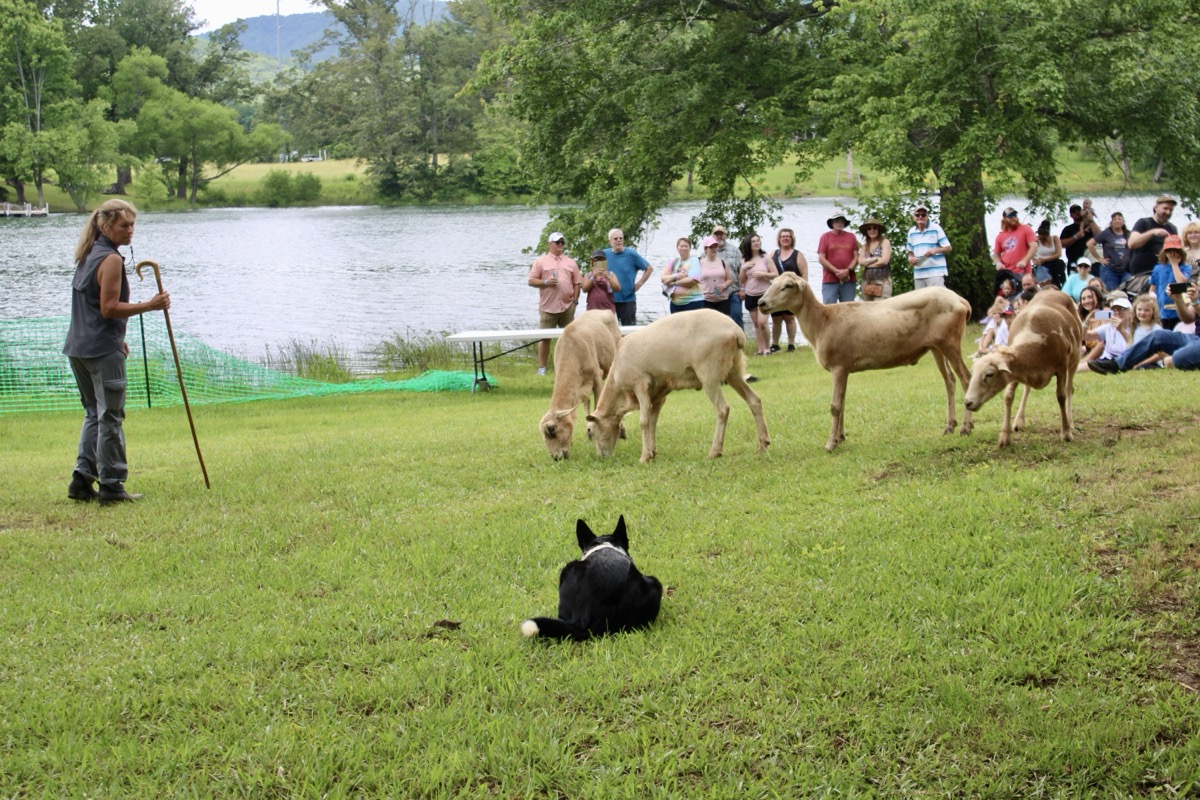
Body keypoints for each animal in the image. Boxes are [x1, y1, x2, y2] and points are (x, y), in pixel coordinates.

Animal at [539, 310, 623, 460]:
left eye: (551, 429)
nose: (556, 458)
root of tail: (603, 310)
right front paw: (588, 433)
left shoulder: (596, 378)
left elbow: (598, 406)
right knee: (587, 402)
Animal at [585, 309, 770, 463]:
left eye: (590, 431)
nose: (602, 457)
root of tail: (736, 331)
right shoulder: (659, 394)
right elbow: (653, 421)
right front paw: (652, 452)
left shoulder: (641, 385)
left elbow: (644, 422)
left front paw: (644, 457)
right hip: (733, 370)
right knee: (754, 400)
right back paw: (763, 444)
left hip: (708, 373)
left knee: (722, 409)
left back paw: (714, 452)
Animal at [756, 273, 974, 451]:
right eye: (772, 283)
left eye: (788, 286)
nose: (761, 302)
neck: (821, 324)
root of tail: (962, 301)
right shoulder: (845, 367)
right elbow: (843, 402)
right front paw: (840, 438)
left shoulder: (839, 365)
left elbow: (835, 405)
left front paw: (830, 444)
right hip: (936, 346)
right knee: (950, 380)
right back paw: (949, 426)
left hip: (950, 341)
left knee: (966, 379)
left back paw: (966, 427)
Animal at [964, 289, 1082, 447]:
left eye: (989, 374)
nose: (967, 402)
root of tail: (1052, 290)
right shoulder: (1014, 372)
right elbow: (1008, 397)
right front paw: (1005, 436)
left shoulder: (1062, 366)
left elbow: (1061, 396)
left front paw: (1066, 432)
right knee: (1027, 389)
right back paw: (1019, 421)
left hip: (1075, 358)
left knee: (1069, 389)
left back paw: (1070, 422)